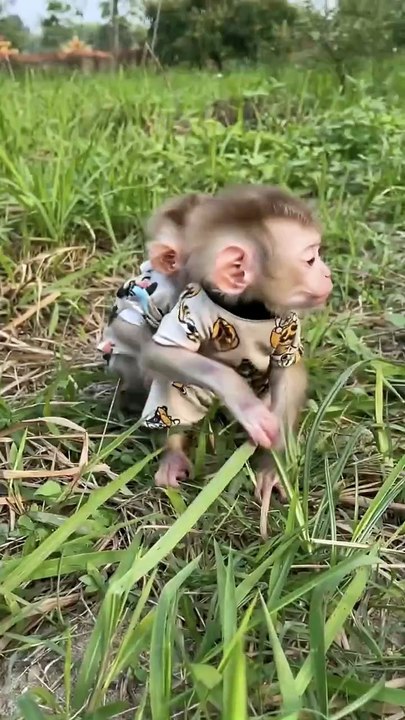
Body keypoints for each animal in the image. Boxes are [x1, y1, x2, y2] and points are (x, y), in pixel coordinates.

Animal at [111, 184, 333, 537]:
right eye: (310, 259)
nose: (326, 273)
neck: (247, 308)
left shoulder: (287, 322)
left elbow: (289, 370)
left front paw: (273, 459)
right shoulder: (187, 307)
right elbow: (158, 352)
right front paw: (244, 401)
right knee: (175, 383)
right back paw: (172, 452)